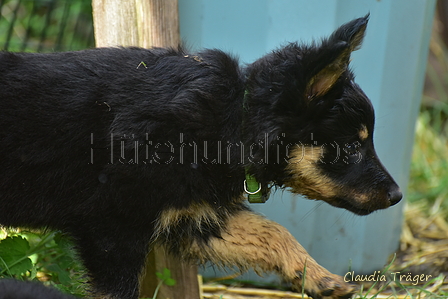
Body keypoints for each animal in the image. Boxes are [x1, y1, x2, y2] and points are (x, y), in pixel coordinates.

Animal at [0, 15, 400, 298]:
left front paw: (318, 277)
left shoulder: (193, 214)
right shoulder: (112, 230)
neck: (233, 119)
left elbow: (271, 232)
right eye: (353, 147)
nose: (398, 196)